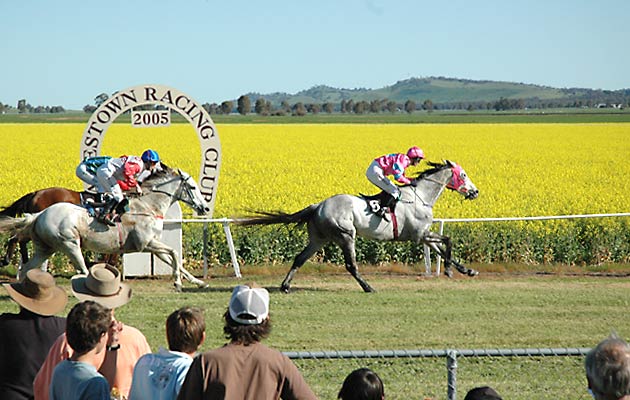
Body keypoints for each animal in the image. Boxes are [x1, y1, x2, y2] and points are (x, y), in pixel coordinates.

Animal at [0, 166, 210, 290]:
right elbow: (174, 252)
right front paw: (178, 281)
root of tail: (40, 212)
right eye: (192, 187)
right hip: (69, 244)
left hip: (46, 247)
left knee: (26, 260)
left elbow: (175, 259)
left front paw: (197, 281)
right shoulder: (146, 243)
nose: (205, 208)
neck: (147, 206)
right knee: (81, 269)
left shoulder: (153, 244)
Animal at [236, 160, 478, 294]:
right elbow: (447, 241)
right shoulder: (420, 235)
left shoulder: (423, 235)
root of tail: (318, 206)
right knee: (351, 265)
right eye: (463, 174)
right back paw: (368, 287)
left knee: (299, 259)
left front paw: (466, 270)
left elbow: (442, 248)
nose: (475, 192)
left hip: (319, 239)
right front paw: (449, 270)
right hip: (346, 235)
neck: (420, 197)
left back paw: (285, 286)